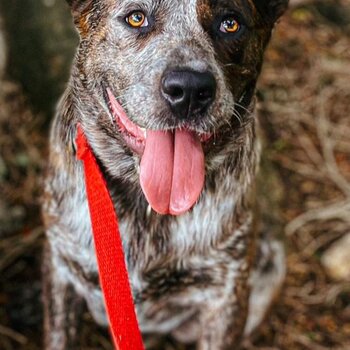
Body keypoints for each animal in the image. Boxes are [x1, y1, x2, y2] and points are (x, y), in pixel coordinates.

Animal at [41, 1, 288, 348]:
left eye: (230, 23)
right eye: (136, 17)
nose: (189, 90)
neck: (148, 207)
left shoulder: (225, 295)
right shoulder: (61, 266)